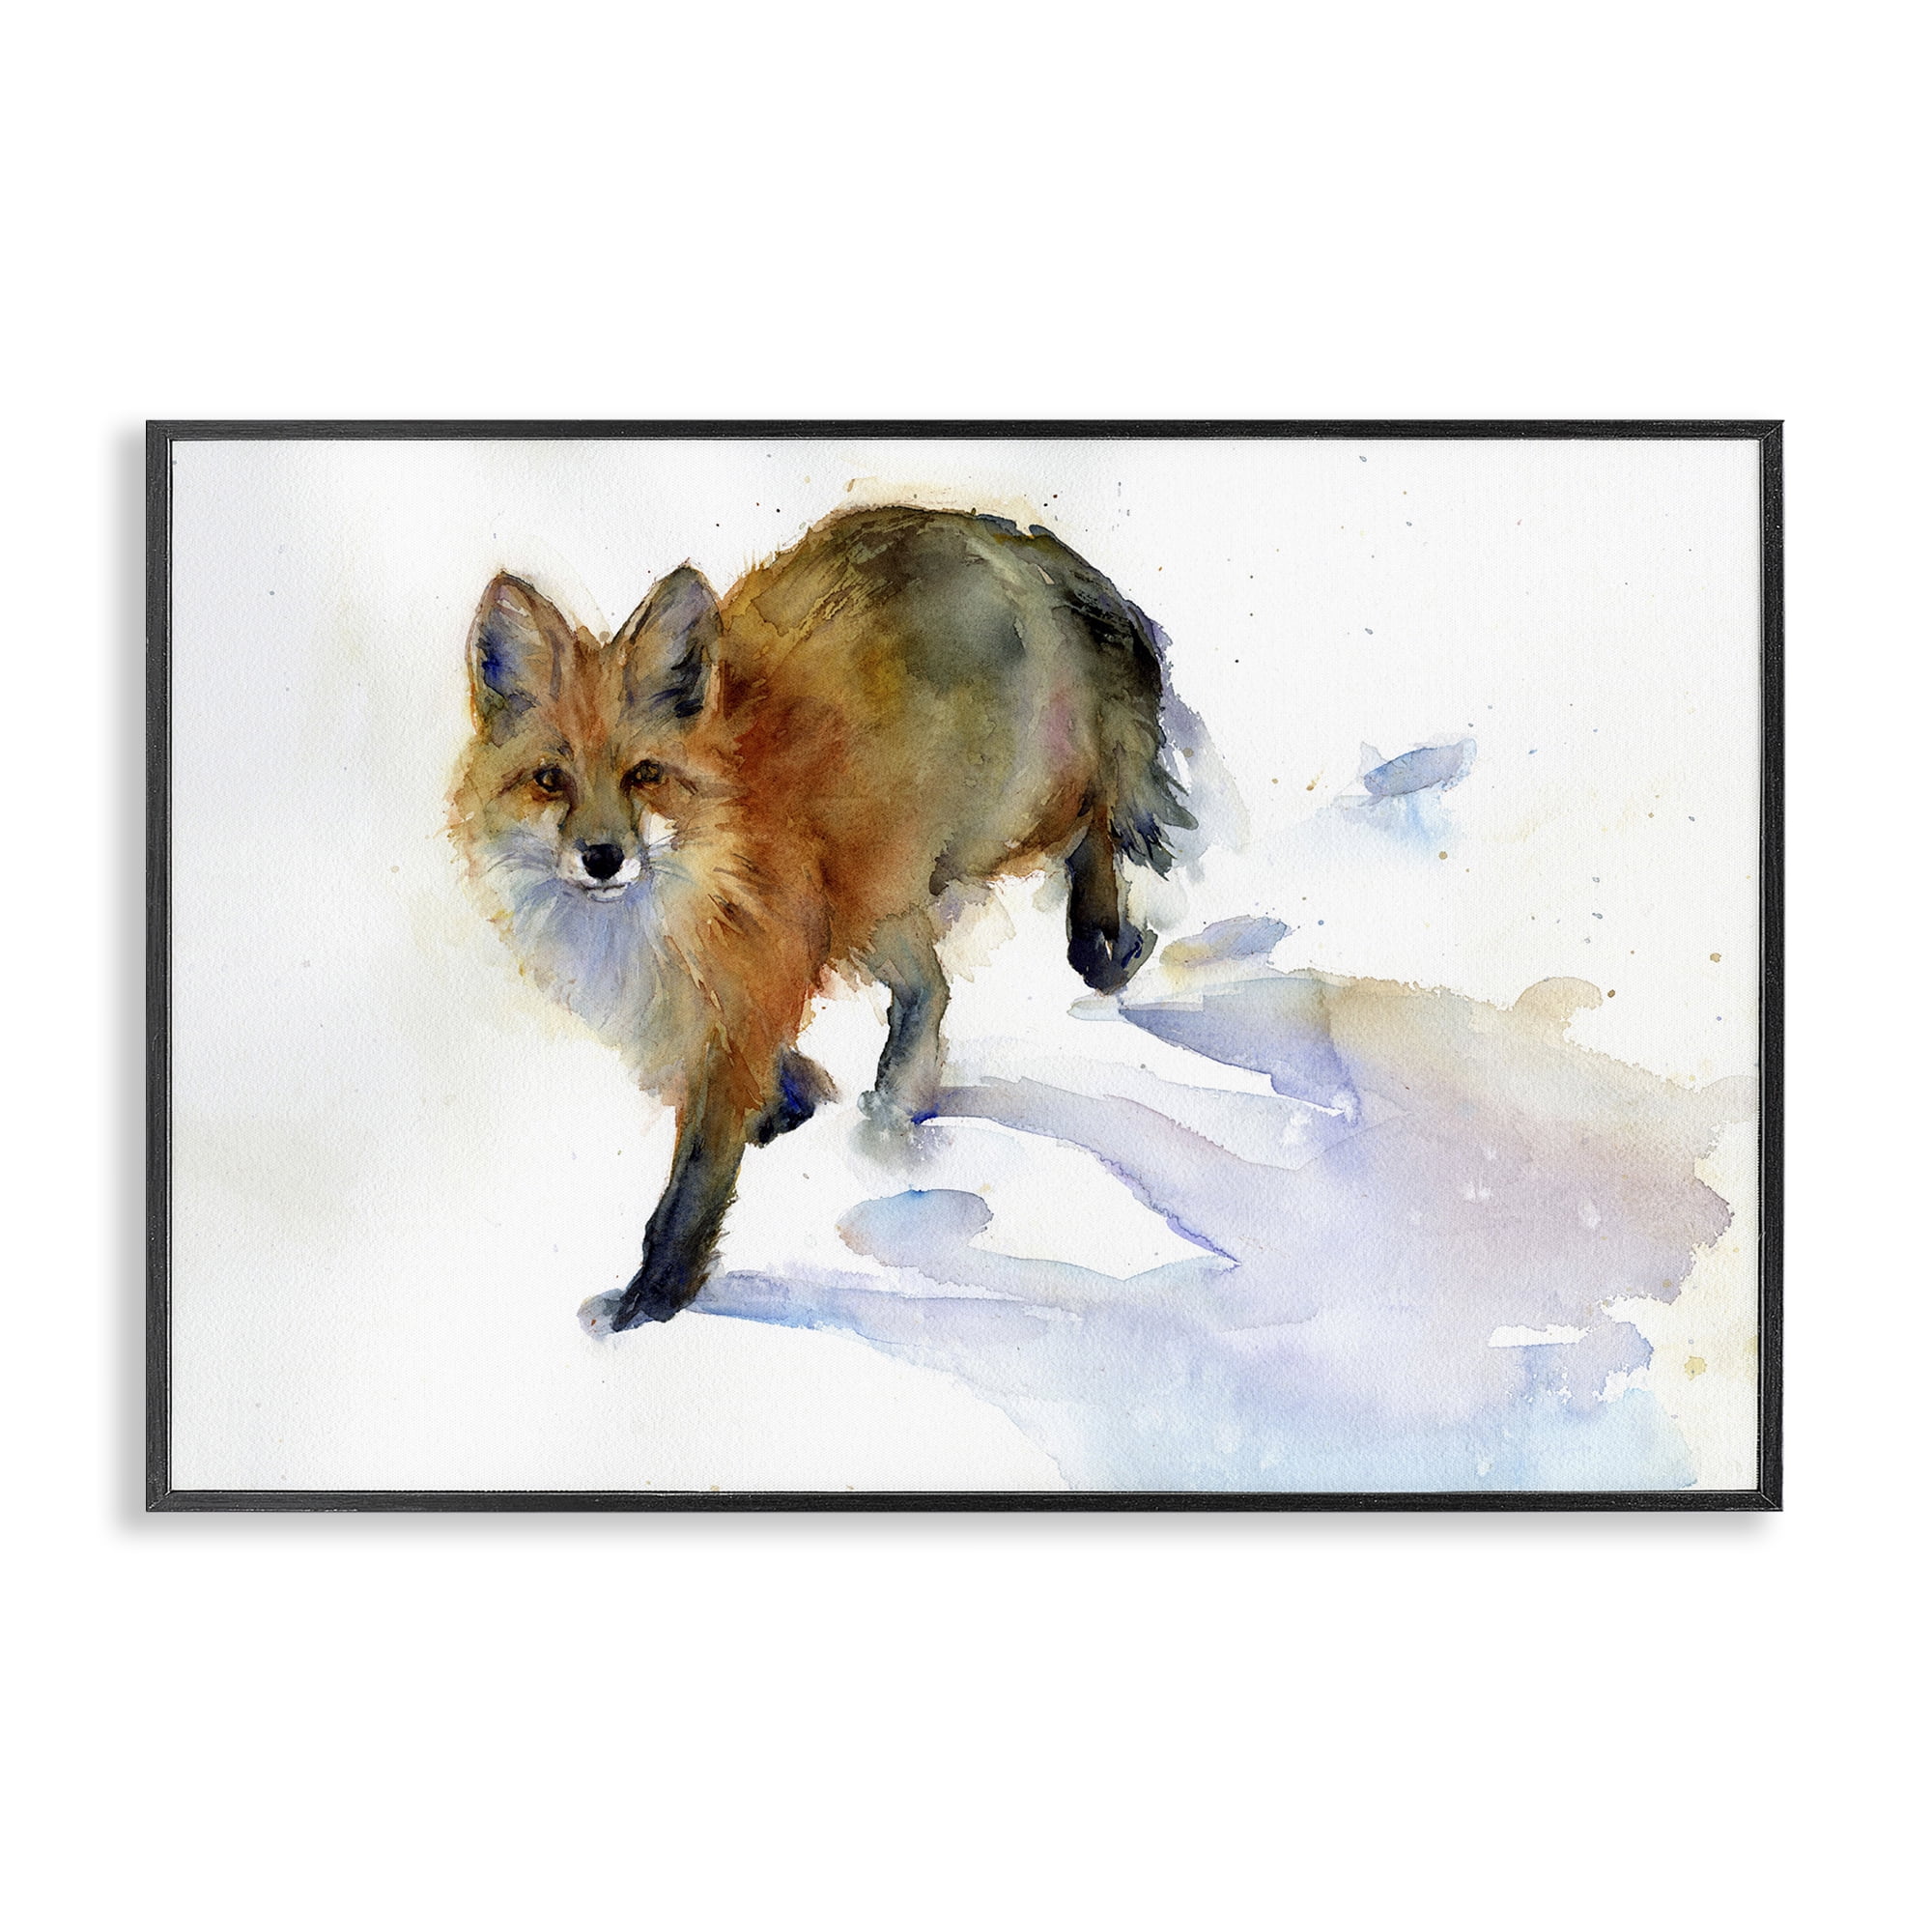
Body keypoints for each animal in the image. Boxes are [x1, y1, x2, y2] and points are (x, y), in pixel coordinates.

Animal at [450, 505, 1192, 1331]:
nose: (603, 857)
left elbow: (692, 1185)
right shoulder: (714, 1002)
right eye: (550, 780)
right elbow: (773, 1078)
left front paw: (652, 1303)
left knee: (1093, 812)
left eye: (644, 774)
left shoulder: (743, 1002)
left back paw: (1101, 941)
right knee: (930, 989)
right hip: (882, 893)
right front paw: (794, 1104)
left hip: (991, 827)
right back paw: (899, 1100)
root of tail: (1002, 533)